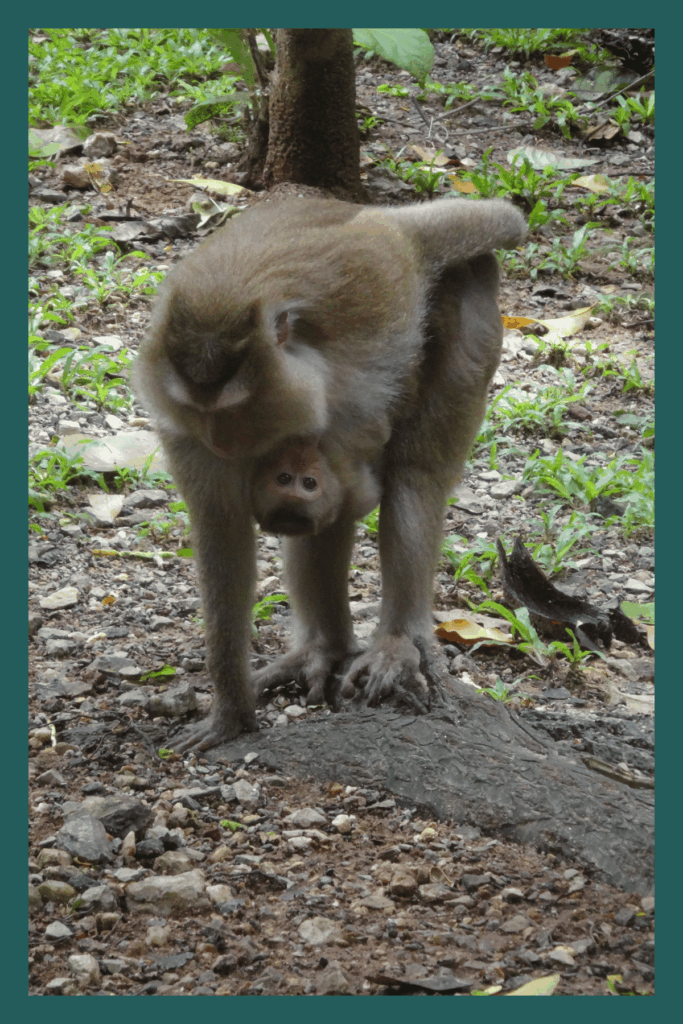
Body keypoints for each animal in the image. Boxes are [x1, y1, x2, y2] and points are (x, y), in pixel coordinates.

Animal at [132, 196, 527, 751]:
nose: (223, 442)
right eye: (205, 414)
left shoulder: (346, 394)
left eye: (237, 411)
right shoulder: (184, 431)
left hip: (473, 301)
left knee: (416, 477)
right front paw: (231, 709)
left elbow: (347, 503)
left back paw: (395, 641)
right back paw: (324, 648)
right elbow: (223, 533)